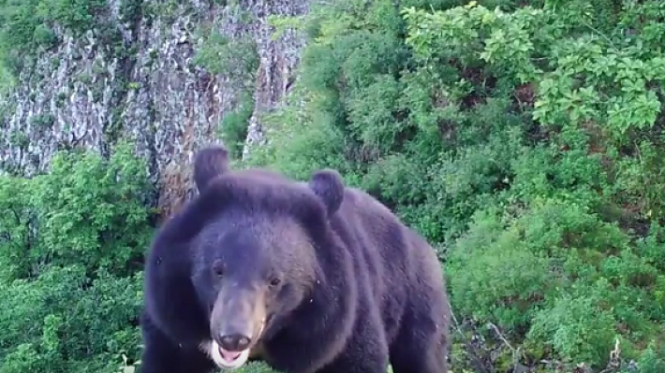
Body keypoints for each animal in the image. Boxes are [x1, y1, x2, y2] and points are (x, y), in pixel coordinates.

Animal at [140, 143, 452, 372]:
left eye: (275, 281)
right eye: (217, 269)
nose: (234, 337)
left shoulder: (340, 320)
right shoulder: (173, 313)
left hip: (416, 300)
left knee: (422, 355)